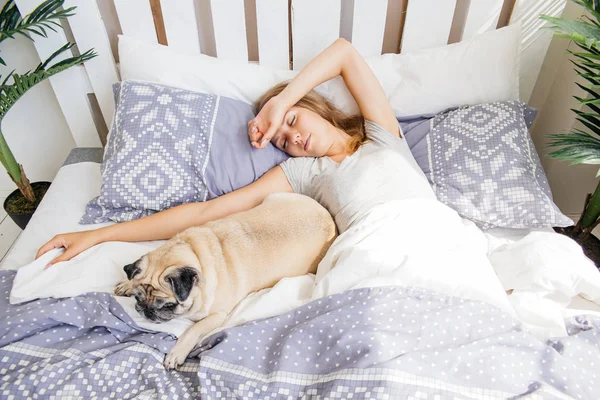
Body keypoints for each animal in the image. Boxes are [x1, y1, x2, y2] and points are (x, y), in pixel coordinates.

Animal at [115, 192, 336, 370]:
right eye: (138, 298)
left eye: (168, 305)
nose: (145, 310)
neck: (196, 256)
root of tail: (328, 218)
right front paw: (127, 283)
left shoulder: (217, 316)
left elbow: (192, 330)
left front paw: (177, 353)